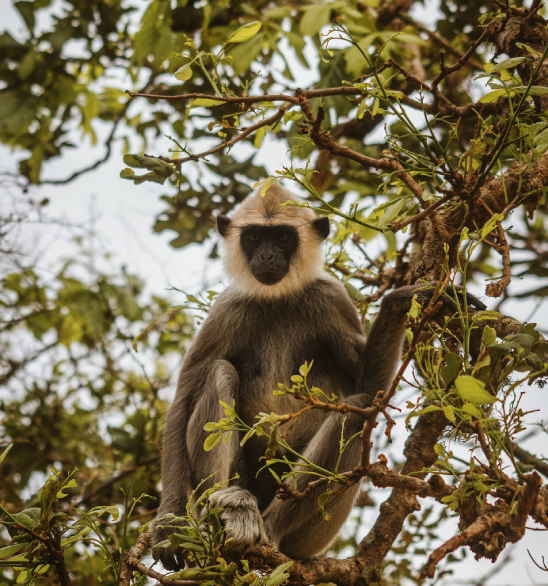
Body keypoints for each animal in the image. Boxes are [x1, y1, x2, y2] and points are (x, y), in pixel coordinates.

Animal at [150, 182, 484, 564]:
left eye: (282, 238)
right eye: (254, 238)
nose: (266, 257)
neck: (277, 298)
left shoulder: (330, 298)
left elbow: (370, 387)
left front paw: (399, 302)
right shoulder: (226, 311)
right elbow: (182, 401)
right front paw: (169, 522)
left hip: (314, 535)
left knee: (357, 410)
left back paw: (268, 530)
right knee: (219, 372)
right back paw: (232, 512)